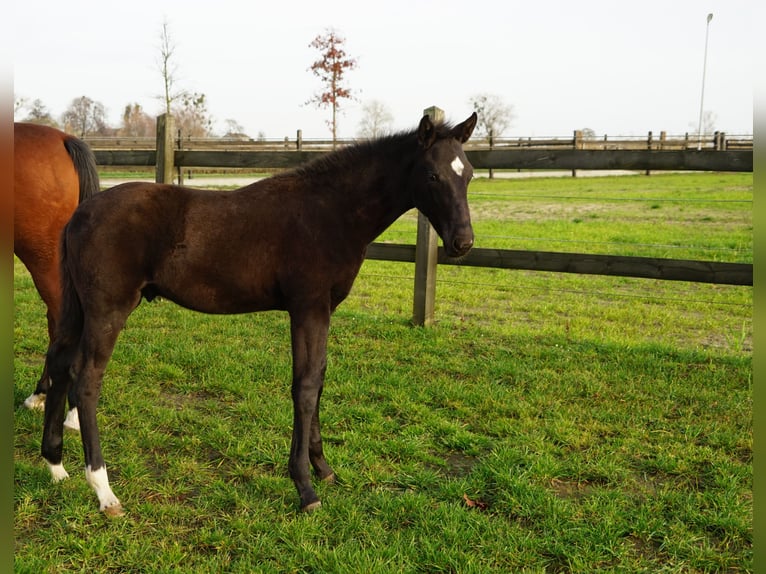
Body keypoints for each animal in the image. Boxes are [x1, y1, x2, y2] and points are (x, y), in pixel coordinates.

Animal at [41, 112, 477, 516]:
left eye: (469, 174)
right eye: (432, 174)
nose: (463, 242)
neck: (330, 212)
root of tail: (80, 214)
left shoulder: (322, 310)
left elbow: (318, 380)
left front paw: (323, 468)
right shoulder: (307, 307)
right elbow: (305, 387)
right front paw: (305, 487)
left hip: (80, 308)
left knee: (60, 363)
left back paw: (55, 465)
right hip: (108, 309)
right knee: (87, 379)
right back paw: (103, 490)